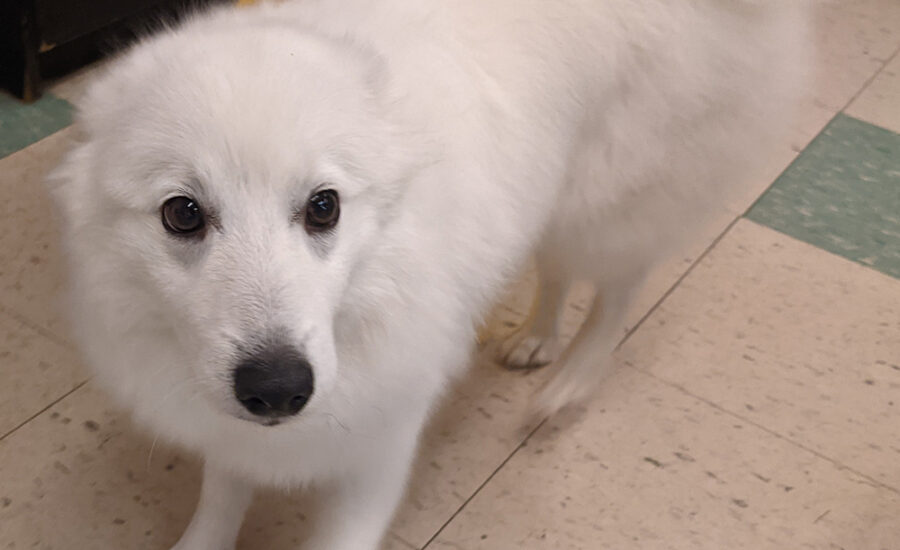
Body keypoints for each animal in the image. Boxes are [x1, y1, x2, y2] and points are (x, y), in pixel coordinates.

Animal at [45, 2, 812, 548]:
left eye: (324, 206)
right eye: (182, 214)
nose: (280, 389)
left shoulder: (377, 456)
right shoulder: (232, 427)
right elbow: (220, 501)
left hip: (605, 204)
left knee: (618, 290)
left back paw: (569, 384)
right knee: (558, 273)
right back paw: (536, 338)